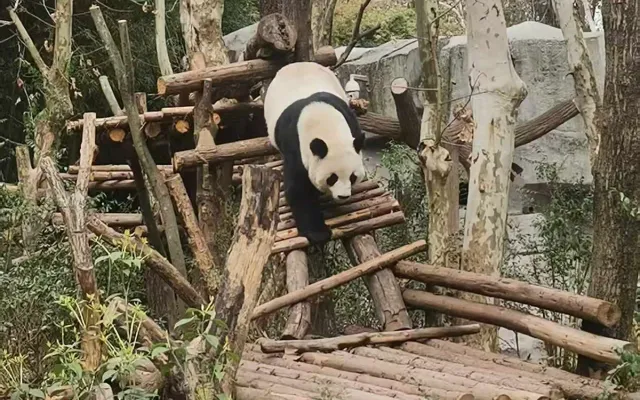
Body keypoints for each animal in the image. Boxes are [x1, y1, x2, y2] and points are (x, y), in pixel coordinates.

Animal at [264, 62, 366, 245]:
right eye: (332, 178)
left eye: (353, 177)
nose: (343, 196)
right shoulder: (295, 146)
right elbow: (299, 189)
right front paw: (318, 233)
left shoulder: (350, 122)